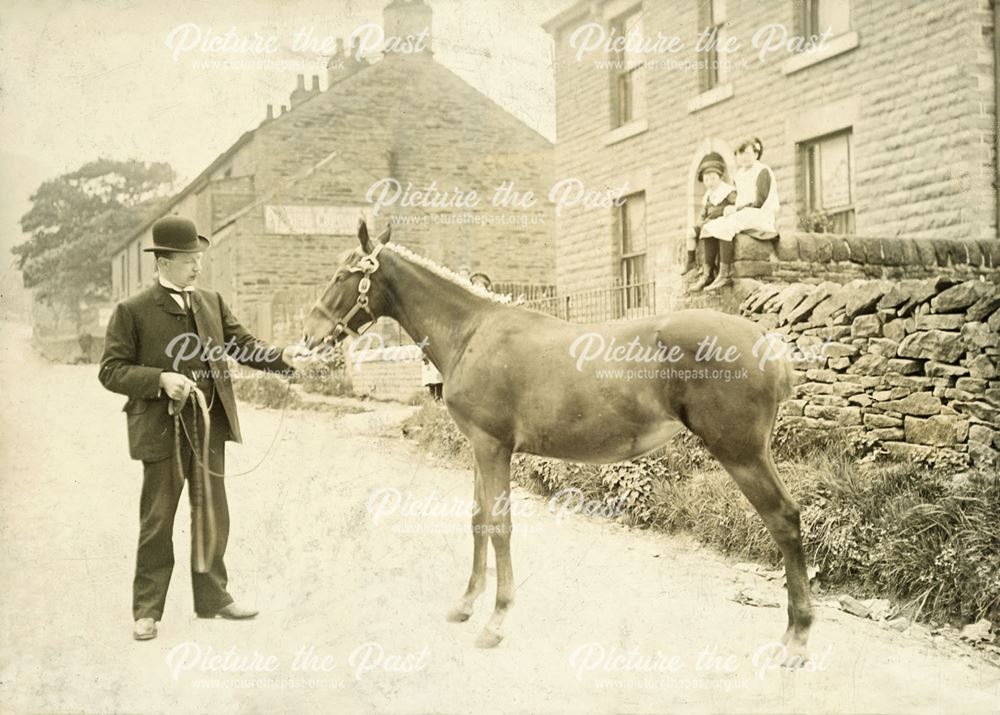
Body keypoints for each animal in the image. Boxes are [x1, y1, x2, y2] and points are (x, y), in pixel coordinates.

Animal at [302, 222, 812, 664]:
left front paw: (497, 621)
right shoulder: (479, 449)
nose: (309, 336)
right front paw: (466, 603)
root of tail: (764, 337)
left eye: (343, 275)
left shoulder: (493, 446)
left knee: (784, 520)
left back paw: (797, 636)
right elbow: (478, 521)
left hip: (742, 454)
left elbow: (500, 527)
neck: (473, 331)